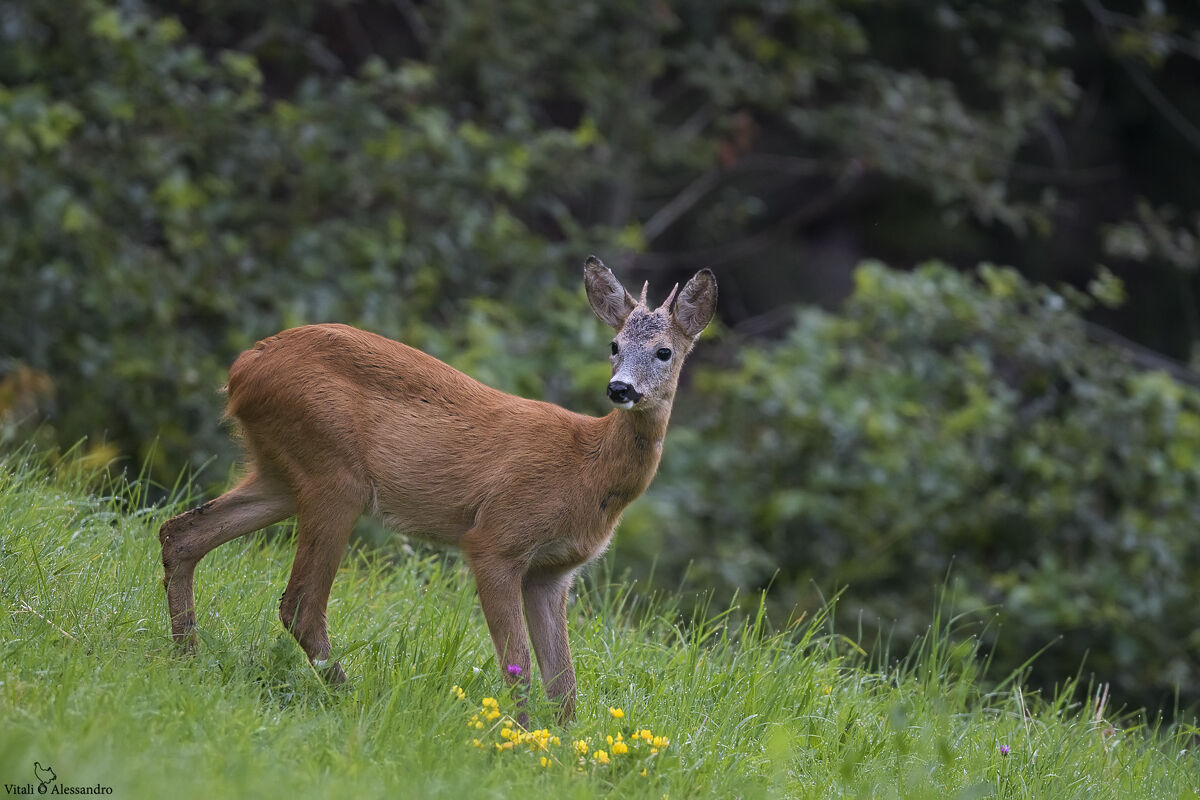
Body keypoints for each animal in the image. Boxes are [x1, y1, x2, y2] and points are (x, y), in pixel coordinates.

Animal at [158, 255, 717, 724]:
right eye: (614, 346)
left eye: (664, 352)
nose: (621, 389)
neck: (589, 469)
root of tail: (242, 369)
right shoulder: (495, 539)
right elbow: (519, 666)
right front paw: (518, 738)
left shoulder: (553, 571)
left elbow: (565, 683)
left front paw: (561, 752)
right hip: (334, 474)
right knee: (299, 605)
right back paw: (349, 697)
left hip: (280, 473)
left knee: (180, 533)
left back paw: (187, 659)